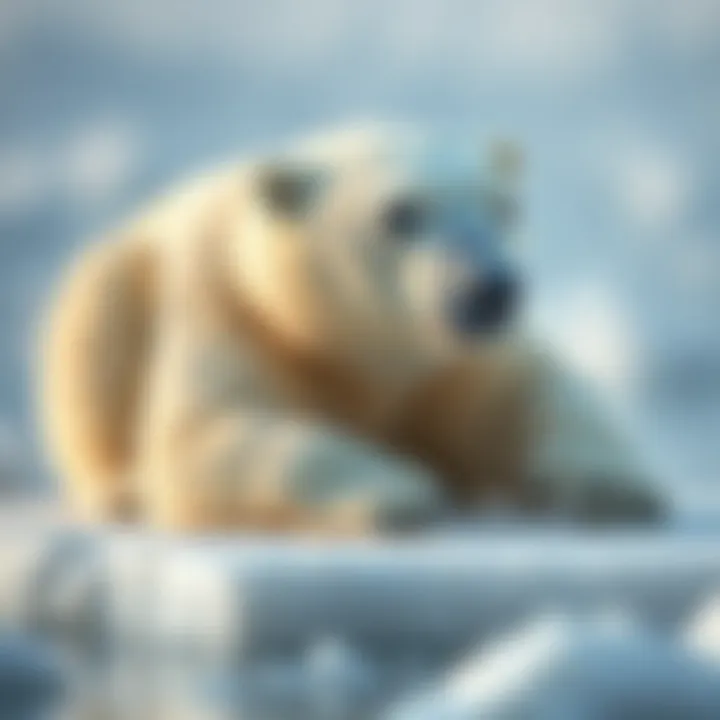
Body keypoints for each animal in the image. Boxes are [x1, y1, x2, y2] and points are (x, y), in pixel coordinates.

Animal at [38, 123, 665, 533]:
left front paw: (614, 490)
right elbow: (210, 434)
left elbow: (532, 392)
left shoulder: (456, 364)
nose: (490, 288)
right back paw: (121, 493)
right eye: (401, 213)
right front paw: (404, 491)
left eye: (504, 207)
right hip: (114, 287)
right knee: (92, 351)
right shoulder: (232, 311)